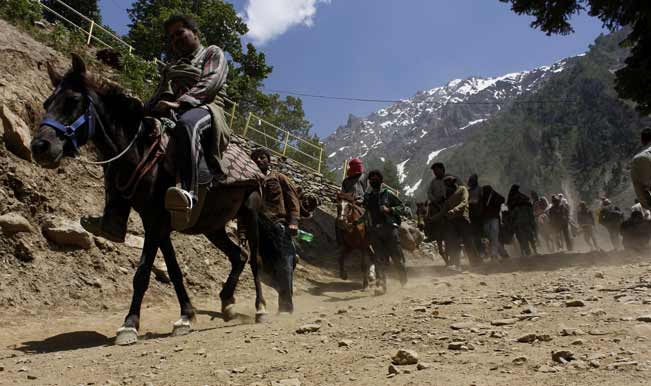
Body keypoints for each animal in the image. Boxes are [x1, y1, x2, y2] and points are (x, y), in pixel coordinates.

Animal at [28, 52, 288, 346]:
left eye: (73, 100)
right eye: (47, 103)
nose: (40, 147)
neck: (141, 152)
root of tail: (256, 167)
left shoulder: (156, 221)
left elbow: (142, 273)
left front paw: (129, 325)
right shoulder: (157, 222)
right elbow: (174, 270)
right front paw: (186, 316)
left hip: (249, 213)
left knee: (254, 260)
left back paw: (260, 309)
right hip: (213, 226)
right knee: (238, 256)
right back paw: (228, 304)